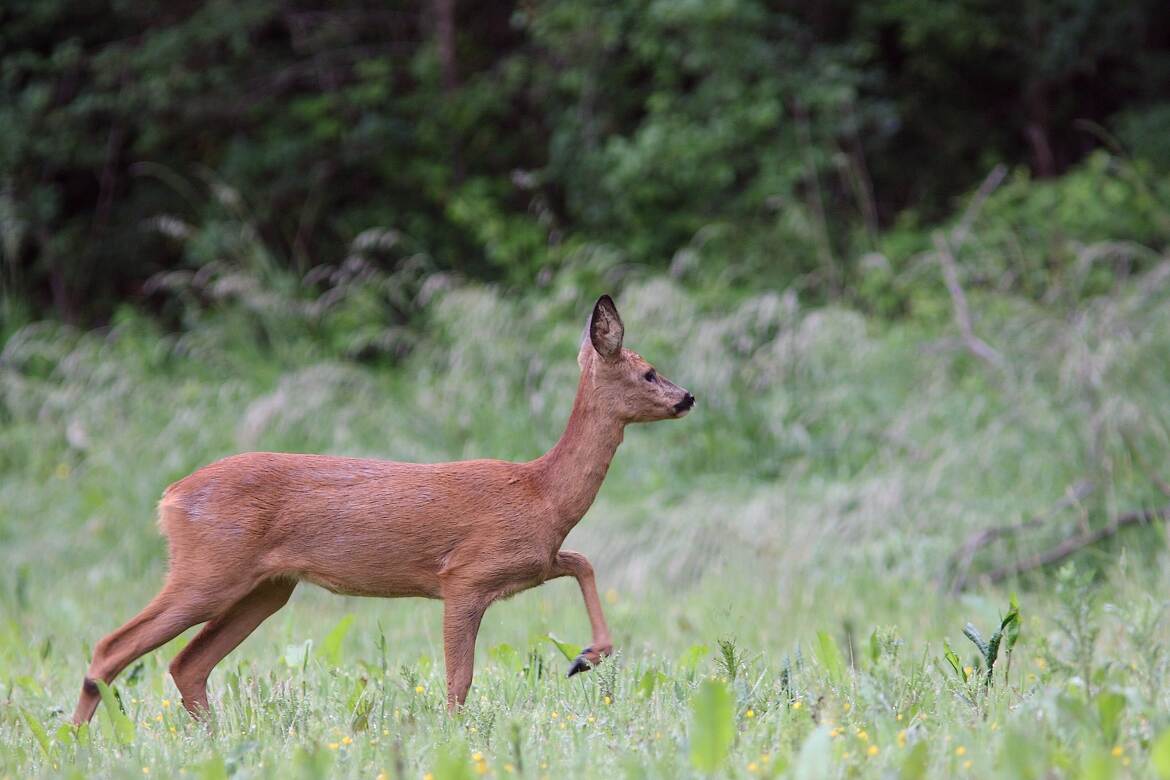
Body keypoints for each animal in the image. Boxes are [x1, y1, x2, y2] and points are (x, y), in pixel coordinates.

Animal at [68, 295, 692, 725]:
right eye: (648, 371)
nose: (688, 396)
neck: (543, 493)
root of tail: (169, 497)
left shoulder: (529, 564)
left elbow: (583, 561)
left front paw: (587, 656)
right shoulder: (464, 576)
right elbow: (459, 680)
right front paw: (455, 736)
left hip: (266, 588)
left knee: (186, 664)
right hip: (208, 569)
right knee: (111, 648)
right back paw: (82, 741)